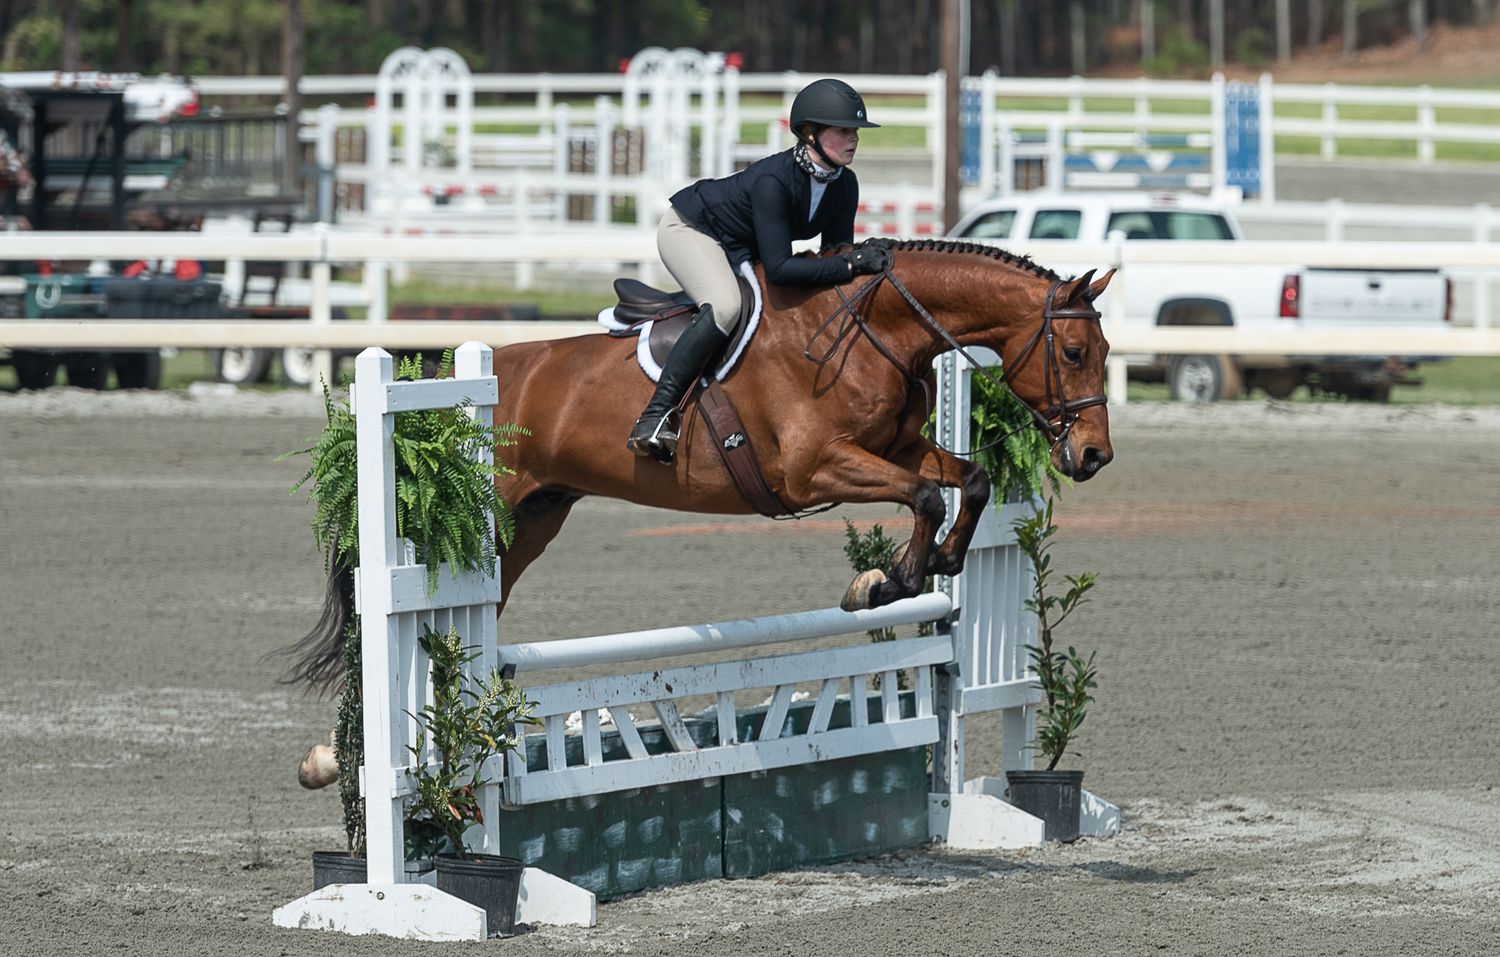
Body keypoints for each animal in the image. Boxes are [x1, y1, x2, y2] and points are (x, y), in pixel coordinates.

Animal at [285, 239, 1114, 718]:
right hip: (491, 516)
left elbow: (967, 481)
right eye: (1074, 353)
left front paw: (929, 564)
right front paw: (890, 579)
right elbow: (918, 496)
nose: (1094, 457)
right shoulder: (813, 469)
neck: (874, 328)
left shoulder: (896, 446)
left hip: (530, 522)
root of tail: (439, 392)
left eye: (1105, 353)